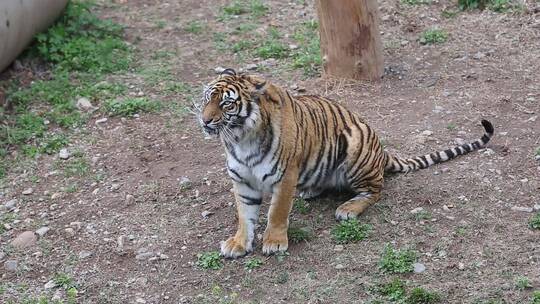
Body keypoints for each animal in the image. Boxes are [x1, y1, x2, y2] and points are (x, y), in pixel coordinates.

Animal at [198, 67, 494, 258]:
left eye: (227, 104)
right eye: (207, 98)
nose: (205, 120)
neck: (240, 139)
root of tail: (382, 150)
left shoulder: (285, 176)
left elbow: (277, 212)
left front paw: (274, 242)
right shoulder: (242, 180)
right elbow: (244, 216)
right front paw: (238, 243)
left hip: (354, 147)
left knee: (375, 190)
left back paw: (348, 208)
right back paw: (309, 191)